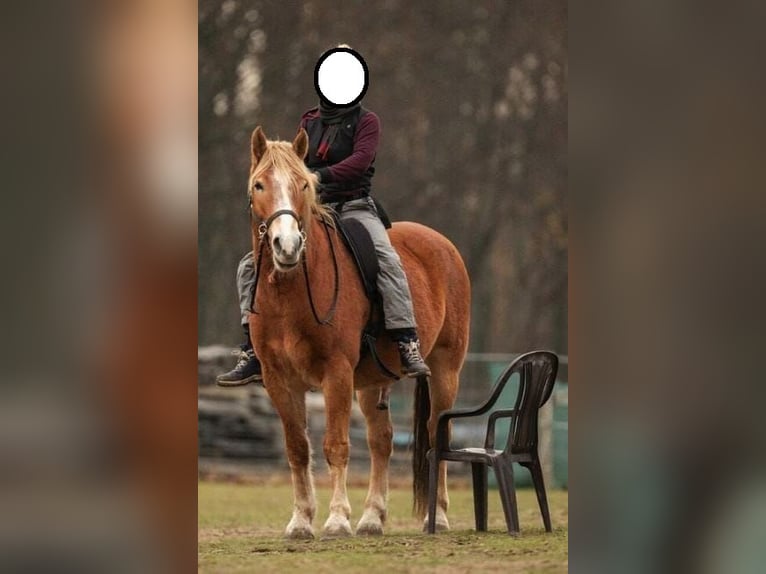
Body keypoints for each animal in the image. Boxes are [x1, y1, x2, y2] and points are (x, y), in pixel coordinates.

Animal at [246, 126, 470, 539]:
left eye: (304, 184)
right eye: (259, 185)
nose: (287, 246)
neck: (291, 291)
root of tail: (441, 244)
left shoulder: (336, 374)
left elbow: (336, 445)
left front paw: (336, 519)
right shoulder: (278, 380)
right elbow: (297, 448)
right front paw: (301, 521)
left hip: (446, 371)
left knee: (438, 435)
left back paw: (439, 517)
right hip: (371, 383)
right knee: (381, 441)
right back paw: (371, 517)